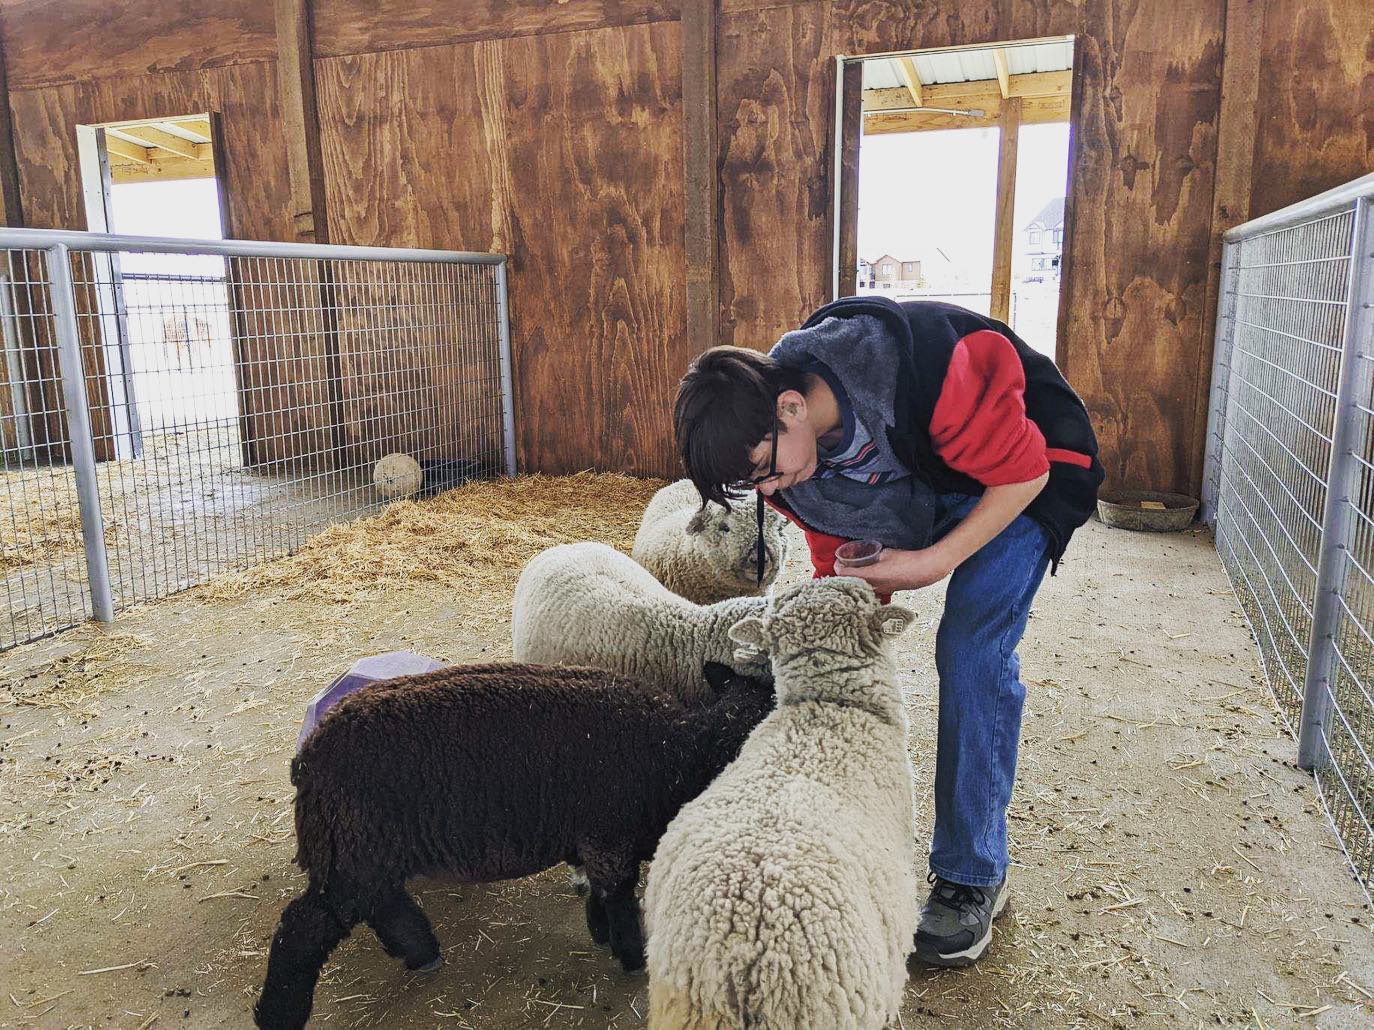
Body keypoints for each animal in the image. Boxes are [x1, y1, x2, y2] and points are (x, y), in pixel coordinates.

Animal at [254, 661, 780, 1030]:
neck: (678, 754)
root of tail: (310, 758)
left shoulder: (595, 840)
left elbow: (600, 894)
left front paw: (601, 934)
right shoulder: (611, 836)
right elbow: (620, 898)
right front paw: (632, 958)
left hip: (366, 851)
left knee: (382, 903)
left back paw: (421, 952)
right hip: (356, 847)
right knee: (305, 926)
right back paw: (279, 1013)